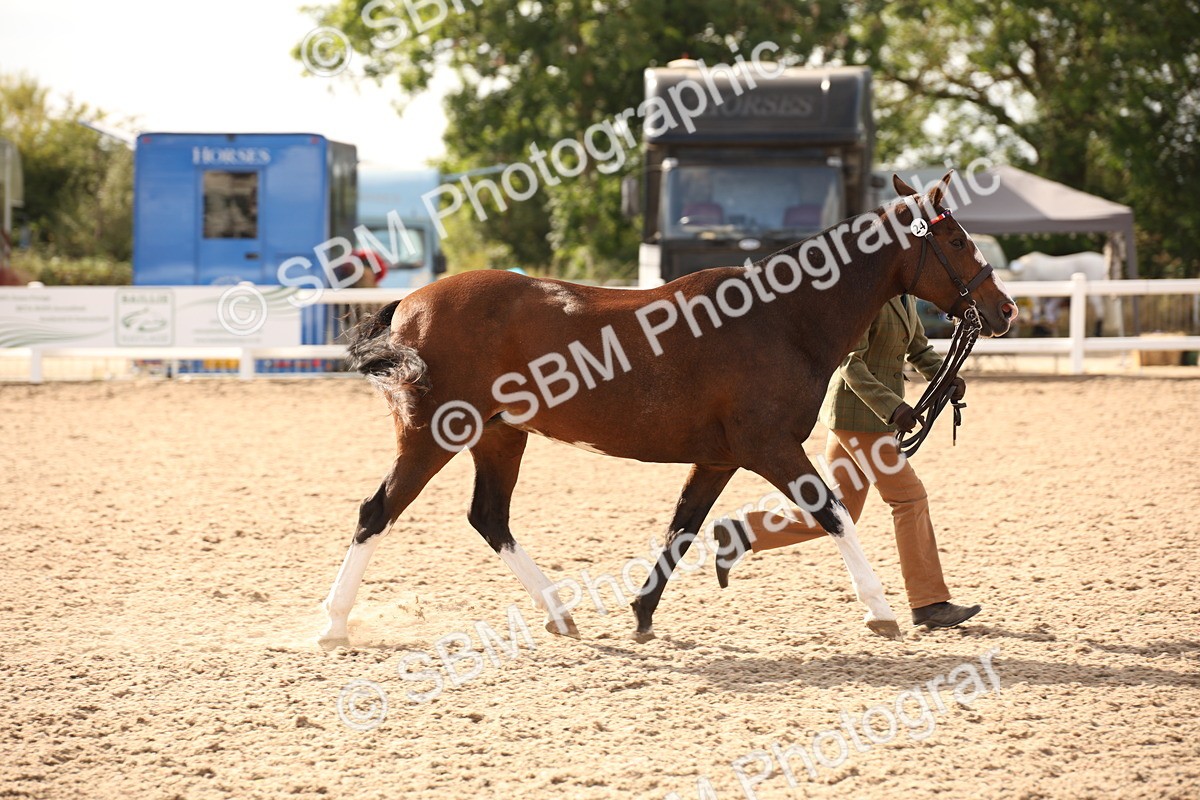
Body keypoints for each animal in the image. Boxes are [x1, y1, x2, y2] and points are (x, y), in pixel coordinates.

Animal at [319, 170, 1017, 646]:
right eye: (957, 240)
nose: (1004, 309)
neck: (783, 319)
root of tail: (411, 303)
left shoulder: (719, 460)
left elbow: (681, 529)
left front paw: (642, 615)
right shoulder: (770, 448)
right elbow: (834, 513)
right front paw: (881, 610)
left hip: (499, 437)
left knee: (489, 518)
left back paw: (560, 615)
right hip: (433, 436)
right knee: (376, 512)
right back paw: (332, 625)